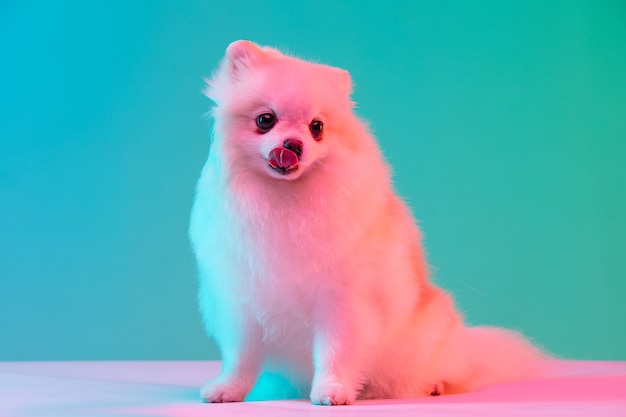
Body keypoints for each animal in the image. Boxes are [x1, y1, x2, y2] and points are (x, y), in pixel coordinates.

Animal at [189, 40, 544, 404]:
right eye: (265, 120)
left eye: (317, 127)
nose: (293, 145)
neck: (285, 200)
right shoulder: (241, 302)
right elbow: (240, 358)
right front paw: (228, 389)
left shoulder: (342, 303)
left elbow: (335, 352)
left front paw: (332, 390)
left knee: (454, 371)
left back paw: (436, 385)